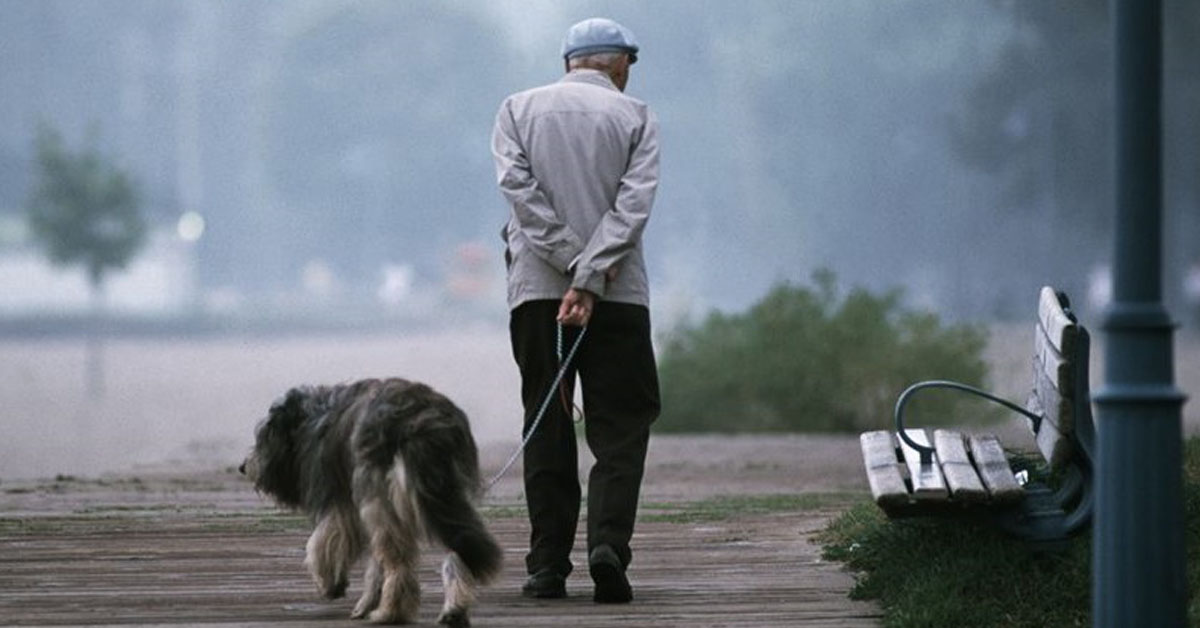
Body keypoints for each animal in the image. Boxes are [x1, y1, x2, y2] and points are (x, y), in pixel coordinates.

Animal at [241, 377, 504, 624]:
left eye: (264, 436)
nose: (243, 467)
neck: (312, 415)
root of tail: (420, 423)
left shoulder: (341, 499)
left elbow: (323, 539)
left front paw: (330, 582)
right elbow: (373, 564)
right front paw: (365, 601)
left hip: (380, 493)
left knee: (398, 562)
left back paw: (391, 611)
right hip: (449, 496)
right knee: (460, 547)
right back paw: (453, 608)